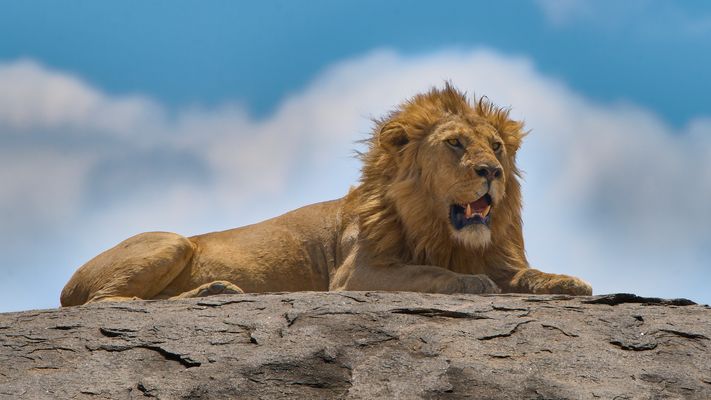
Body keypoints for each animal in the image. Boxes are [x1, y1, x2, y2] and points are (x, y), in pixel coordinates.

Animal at [60, 84, 592, 306]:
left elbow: (529, 275)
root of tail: (67, 284)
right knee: (106, 303)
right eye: (456, 144)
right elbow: (431, 273)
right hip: (170, 241)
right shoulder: (355, 275)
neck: (443, 231)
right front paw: (472, 283)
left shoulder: (500, 258)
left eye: (496, 146)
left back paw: (215, 291)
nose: (492, 172)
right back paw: (209, 291)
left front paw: (570, 283)